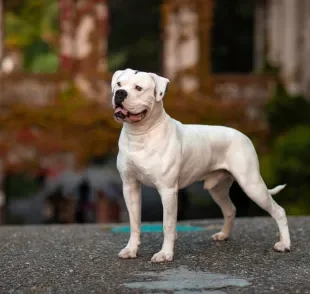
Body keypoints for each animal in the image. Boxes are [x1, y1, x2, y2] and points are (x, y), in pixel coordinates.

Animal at [111, 68, 290, 262]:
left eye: (138, 88)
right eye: (119, 84)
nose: (120, 93)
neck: (141, 134)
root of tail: (243, 135)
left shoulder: (167, 190)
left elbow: (168, 224)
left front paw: (165, 254)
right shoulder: (130, 187)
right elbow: (134, 222)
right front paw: (131, 249)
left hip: (252, 185)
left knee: (279, 211)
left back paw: (284, 244)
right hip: (217, 189)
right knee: (230, 209)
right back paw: (223, 235)